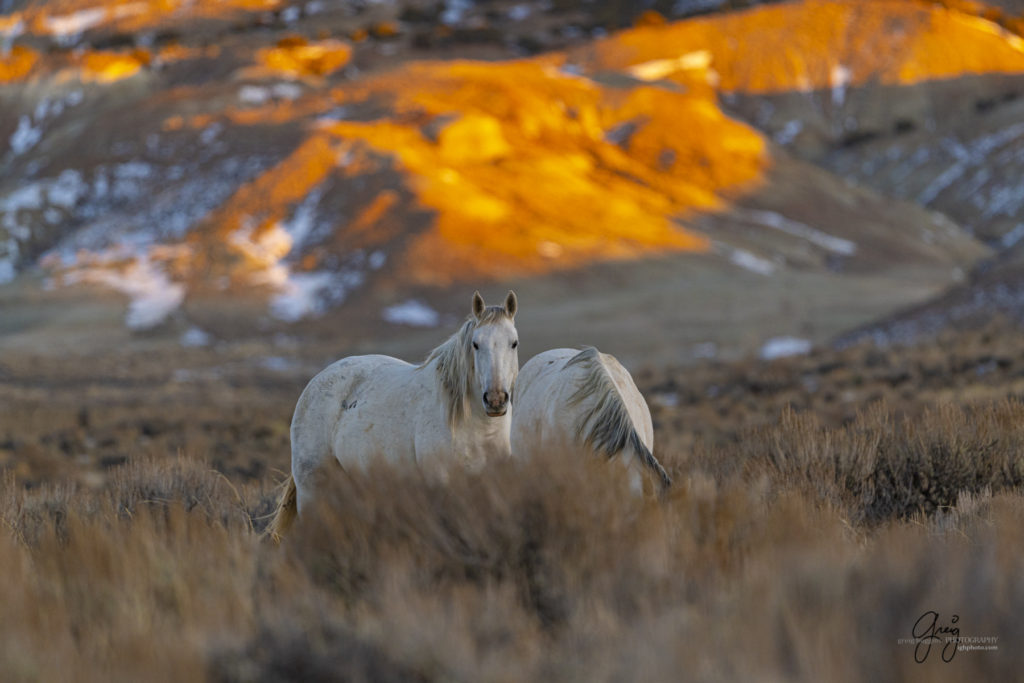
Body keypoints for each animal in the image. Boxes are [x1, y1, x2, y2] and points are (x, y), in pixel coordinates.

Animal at [266, 290, 520, 540]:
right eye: (476, 344)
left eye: (514, 343)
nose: (495, 399)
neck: (479, 429)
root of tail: (315, 381)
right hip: (312, 489)